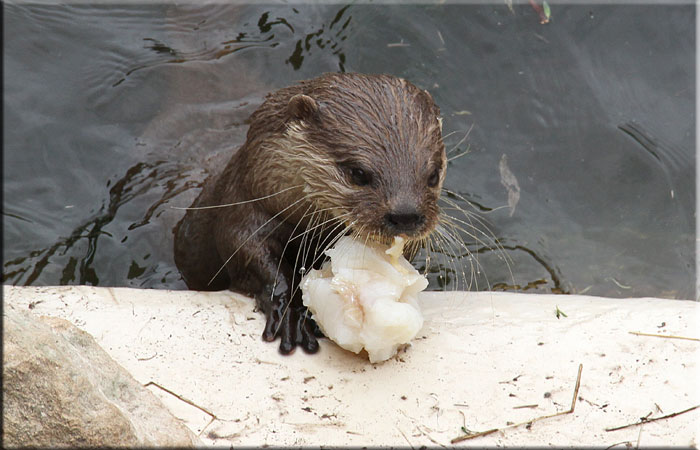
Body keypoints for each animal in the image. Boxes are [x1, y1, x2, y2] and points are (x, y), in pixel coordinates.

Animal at [174, 72, 446, 355]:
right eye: (358, 173)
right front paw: (291, 313)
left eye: (433, 174)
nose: (406, 215)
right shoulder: (242, 211)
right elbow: (248, 253)